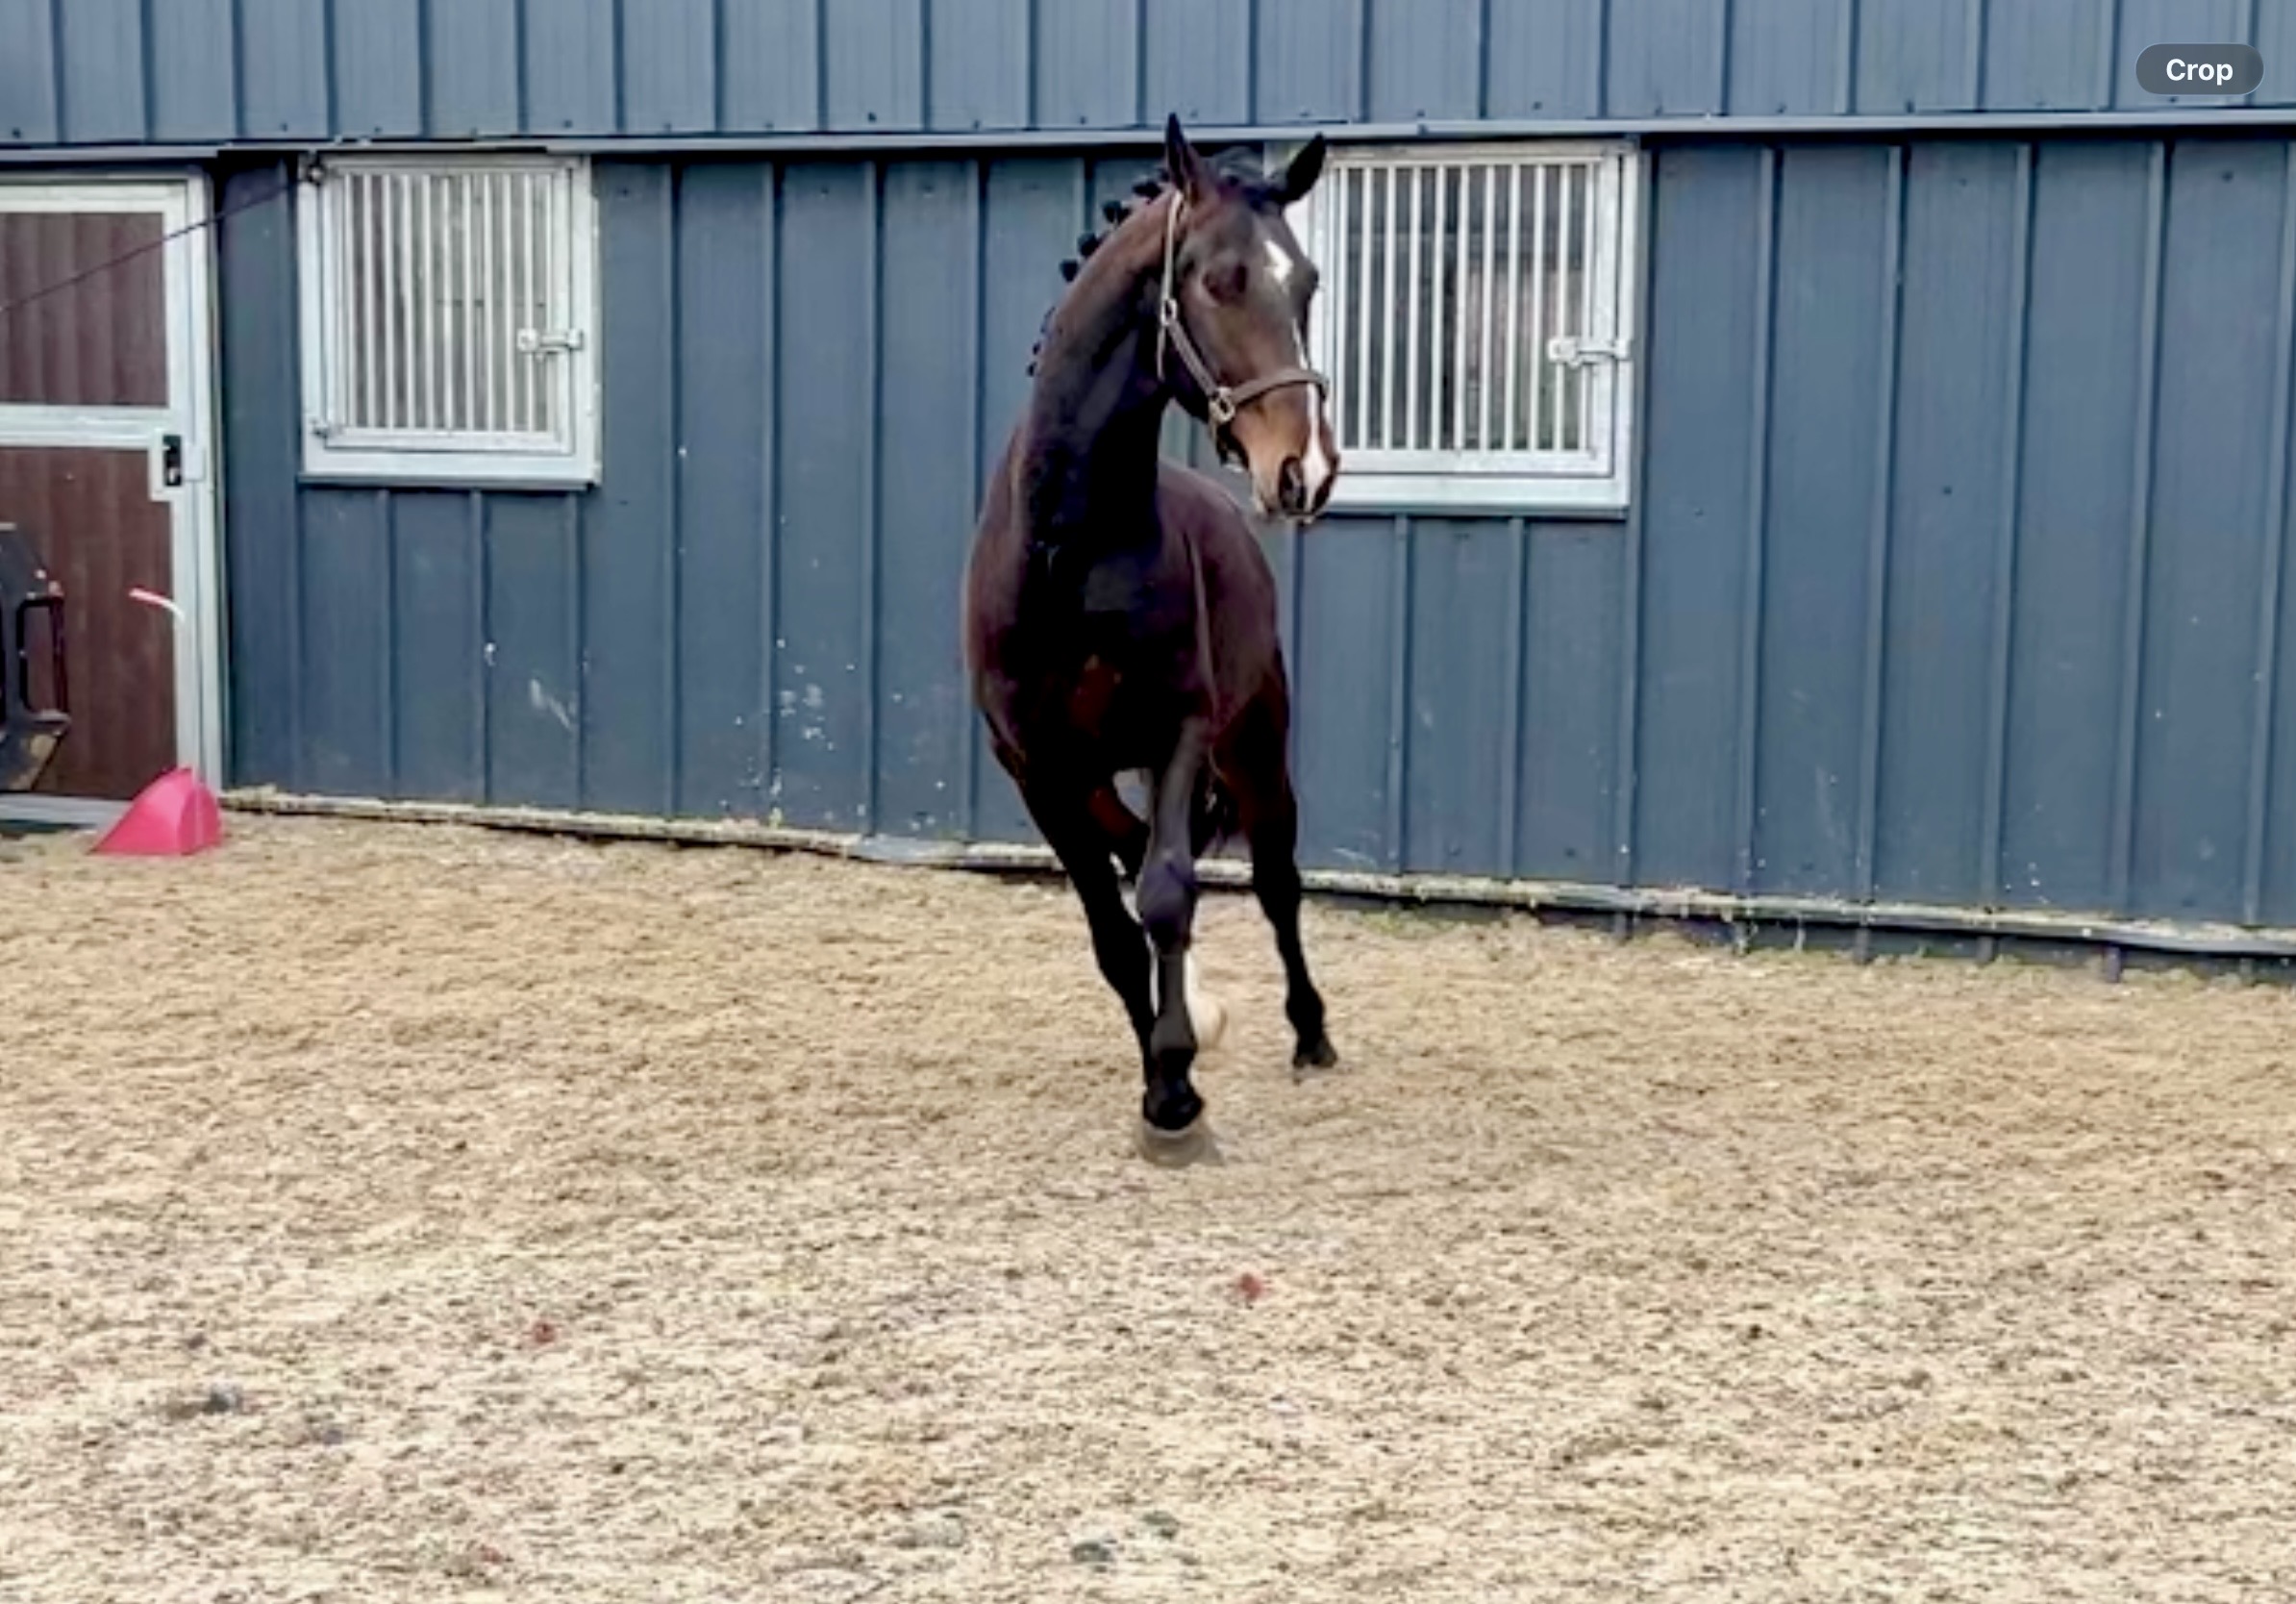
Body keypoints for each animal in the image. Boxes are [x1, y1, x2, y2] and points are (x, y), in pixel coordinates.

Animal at [961, 115, 1342, 1162]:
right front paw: (1167, 1067)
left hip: (1255, 746)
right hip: (1096, 772)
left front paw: (1174, 1087)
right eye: (1220, 280)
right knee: (1133, 856)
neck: (1067, 546)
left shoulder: (1181, 729)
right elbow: (1113, 929)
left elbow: (1170, 893)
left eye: (1307, 282)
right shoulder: (1037, 769)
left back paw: (1312, 1035)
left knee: (1275, 880)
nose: (1306, 469)